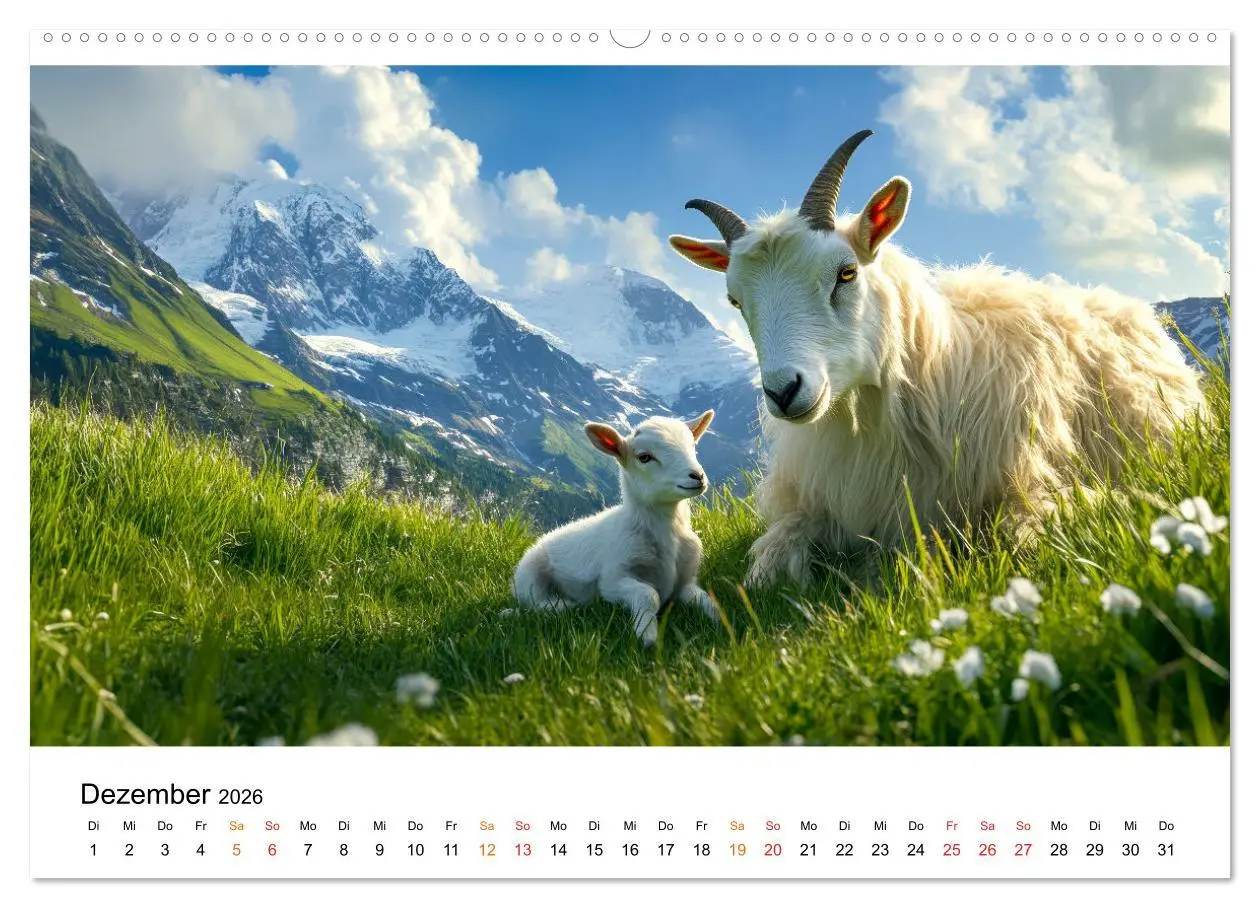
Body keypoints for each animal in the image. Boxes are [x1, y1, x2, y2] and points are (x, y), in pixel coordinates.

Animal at [512, 411, 720, 645]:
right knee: (534, 605)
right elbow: (648, 594)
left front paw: (722, 621)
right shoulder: (612, 579)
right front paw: (647, 634)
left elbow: (705, 598)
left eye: (693, 446)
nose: (697, 476)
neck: (668, 536)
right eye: (644, 457)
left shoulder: (685, 580)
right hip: (529, 574)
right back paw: (565, 605)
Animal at [669, 129, 1204, 588]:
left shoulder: (1027, 486)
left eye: (846, 273)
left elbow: (1024, 535)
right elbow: (767, 567)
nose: (784, 392)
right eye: (735, 300)